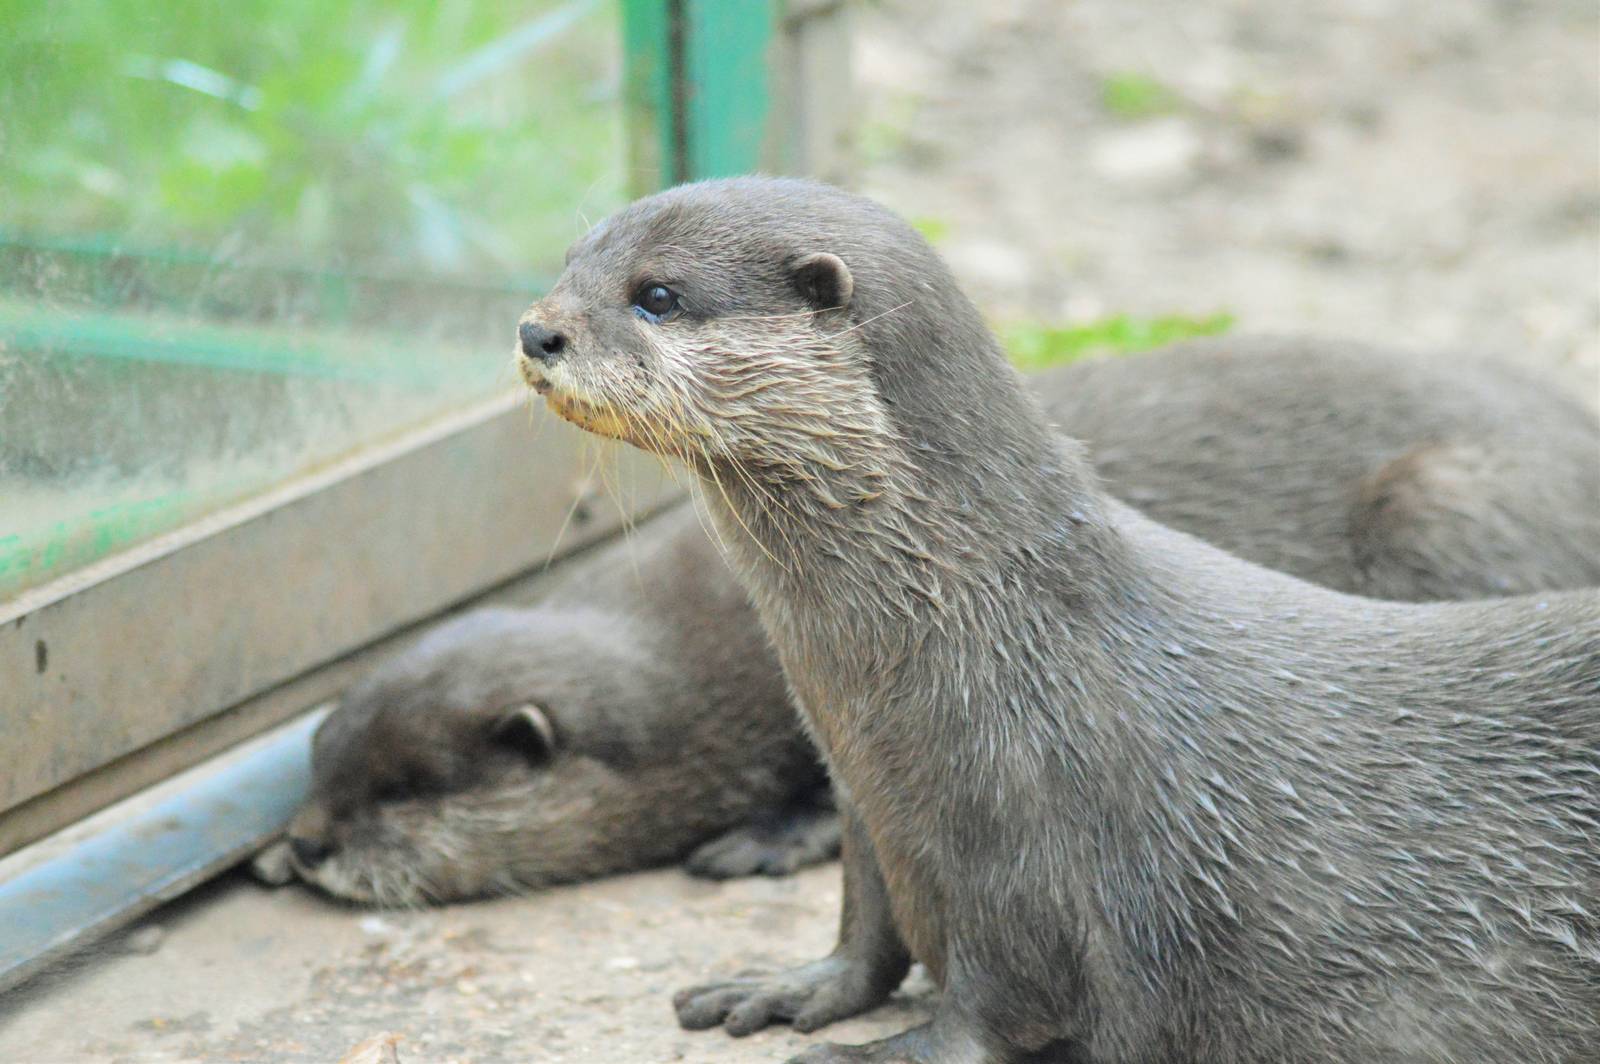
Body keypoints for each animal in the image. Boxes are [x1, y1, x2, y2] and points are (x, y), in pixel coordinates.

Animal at [518, 177, 1600, 1063]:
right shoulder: (869, 810)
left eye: (658, 294)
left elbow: (996, 1009)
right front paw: (791, 987)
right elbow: (865, 934)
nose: (537, 332)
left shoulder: (1031, 843)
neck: (991, 637)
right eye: (571, 261)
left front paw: (859, 1053)